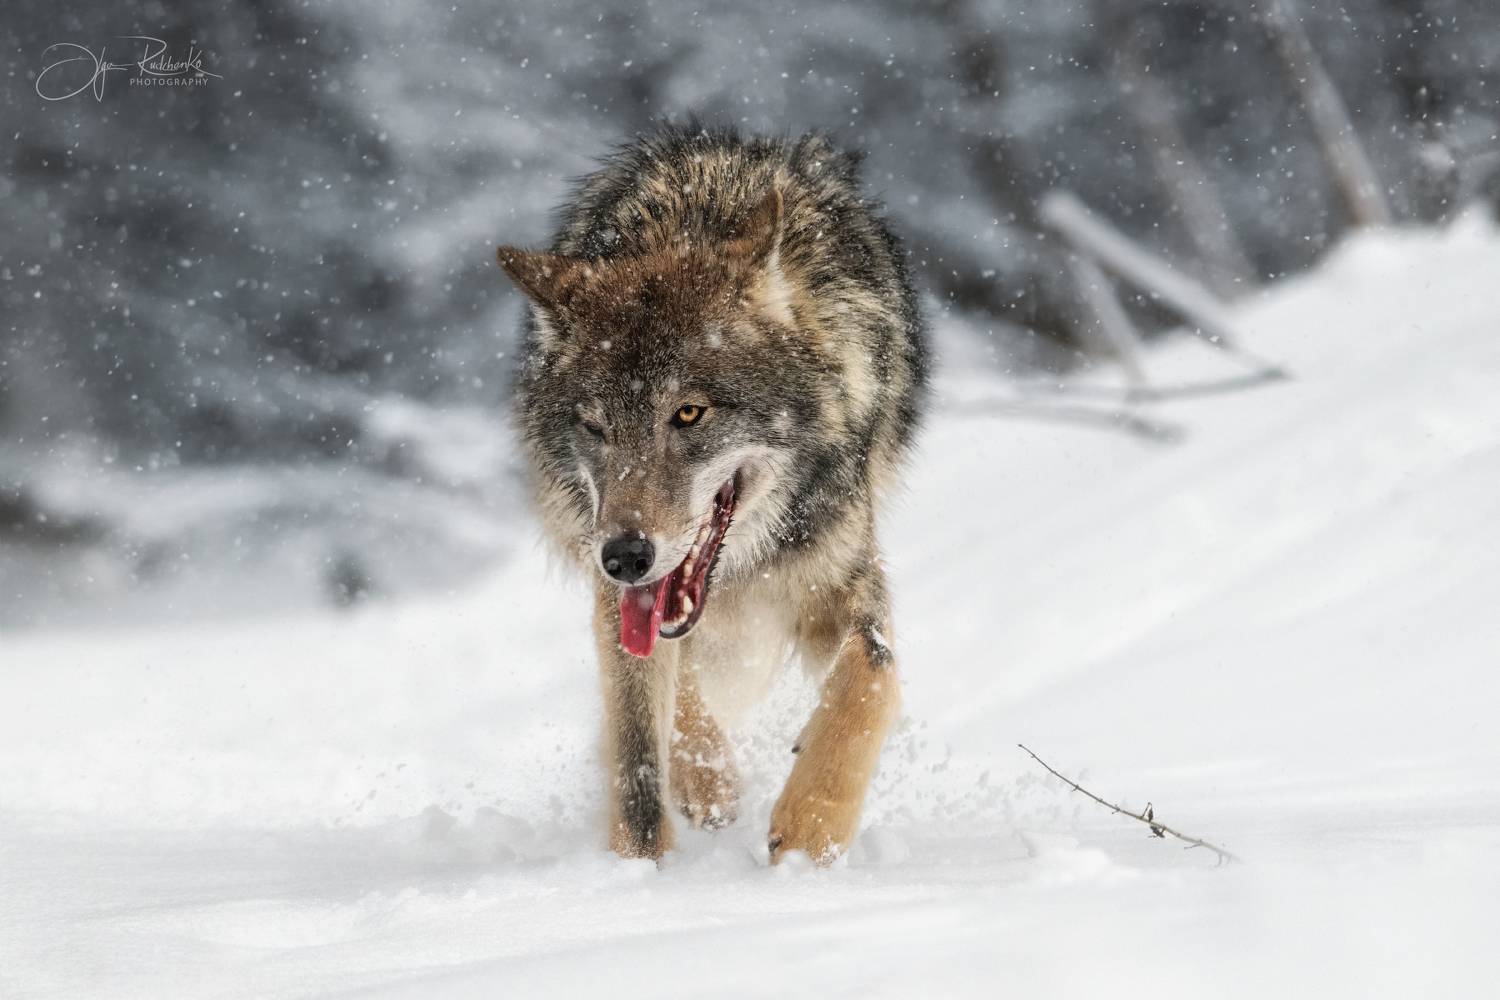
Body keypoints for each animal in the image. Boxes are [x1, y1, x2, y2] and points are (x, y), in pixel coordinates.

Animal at [497, 125, 928, 865]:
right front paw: (650, 856)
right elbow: (640, 760)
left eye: (689, 413)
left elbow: (873, 674)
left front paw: (810, 834)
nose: (626, 556)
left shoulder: (839, 573)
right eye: (594, 426)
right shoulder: (616, 596)